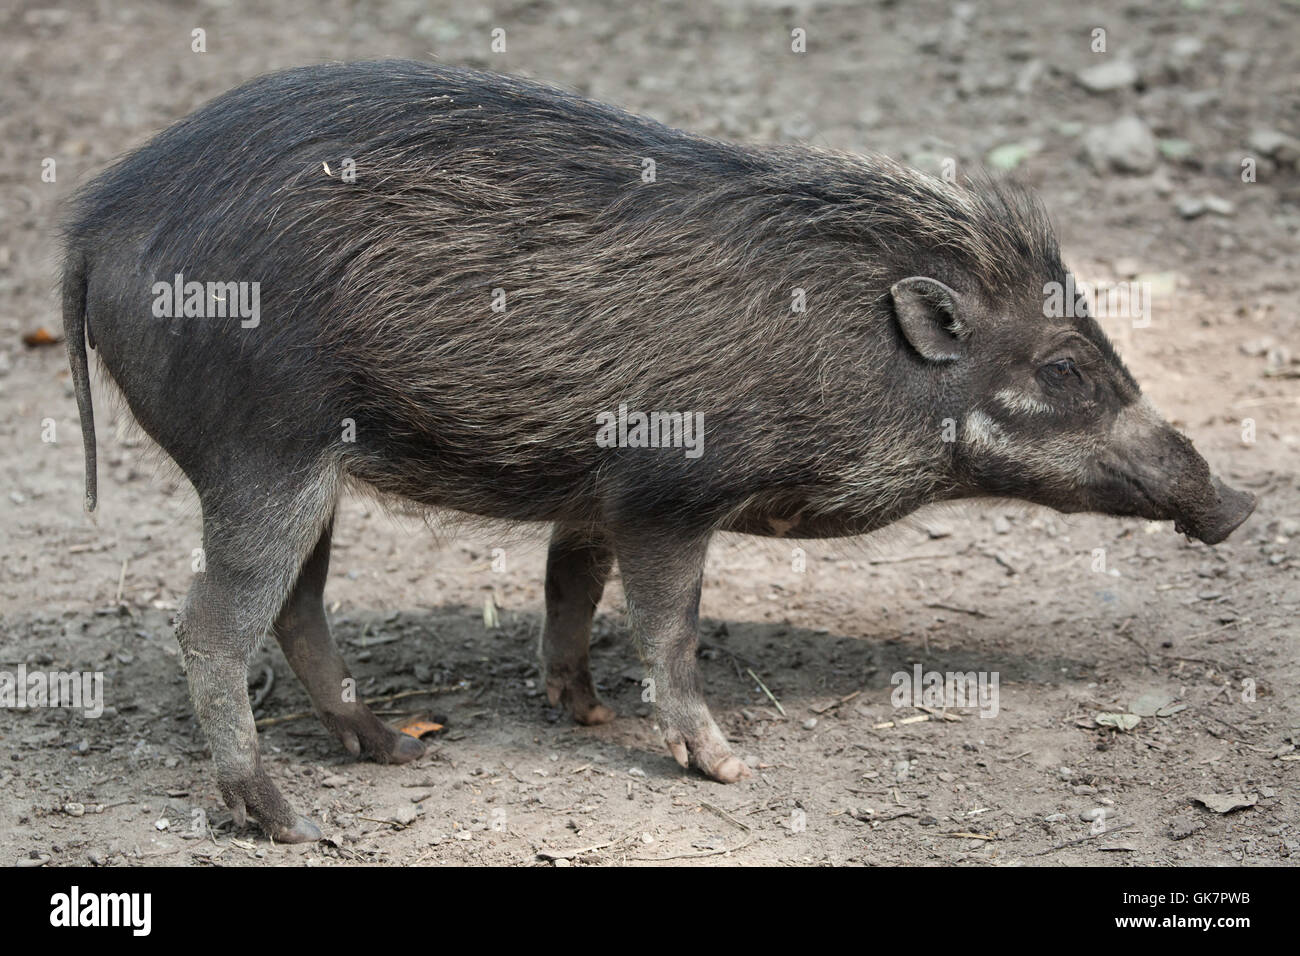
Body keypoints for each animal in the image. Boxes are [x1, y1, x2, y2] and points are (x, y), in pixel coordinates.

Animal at [62, 60, 1255, 841]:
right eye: (1063, 369)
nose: (1238, 503)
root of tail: (95, 220)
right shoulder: (670, 495)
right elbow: (669, 630)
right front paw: (727, 766)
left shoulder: (591, 494)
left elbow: (568, 586)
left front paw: (579, 709)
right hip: (264, 454)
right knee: (211, 624)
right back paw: (285, 818)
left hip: (315, 471)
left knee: (299, 607)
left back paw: (394, 746)